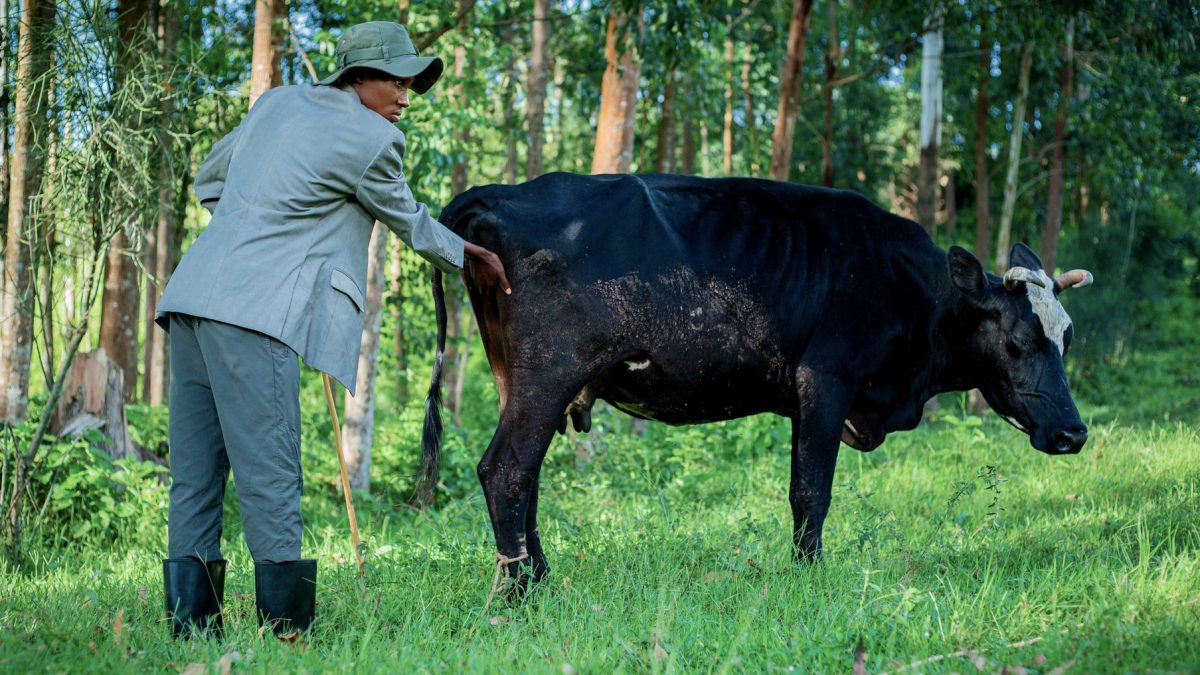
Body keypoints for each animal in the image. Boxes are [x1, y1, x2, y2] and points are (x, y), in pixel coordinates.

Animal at [417, 172, 1092, 594]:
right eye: (1019, 341)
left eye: (1067, 337)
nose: (1074, 433)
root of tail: (498, 195)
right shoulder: (827, 380)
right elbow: (811, 492)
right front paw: (809, 576)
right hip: (550, 372)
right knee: (506, 469)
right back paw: (521, 593)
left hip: (517, 376)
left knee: (524, 476)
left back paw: (538, 578)